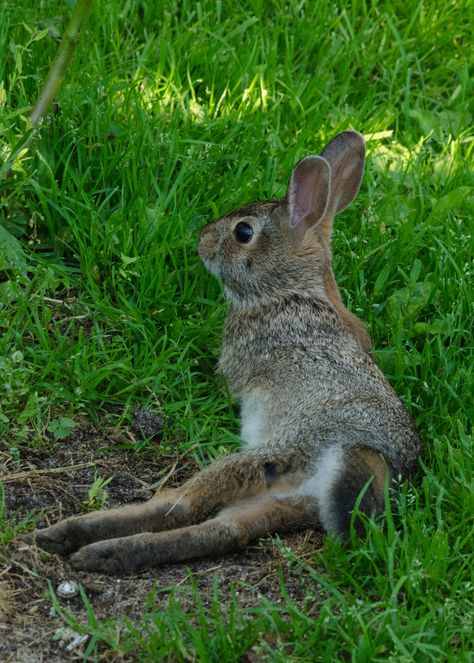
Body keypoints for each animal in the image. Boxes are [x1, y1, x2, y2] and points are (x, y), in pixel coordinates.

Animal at [34, 132, 418, 572]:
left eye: (243, 232)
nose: (202, 239)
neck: (288, 291)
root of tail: (373, 458)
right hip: (283, 496)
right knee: (225, 529)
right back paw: (104, 551)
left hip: (273, 451)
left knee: (181, 504)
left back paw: (74, 539)